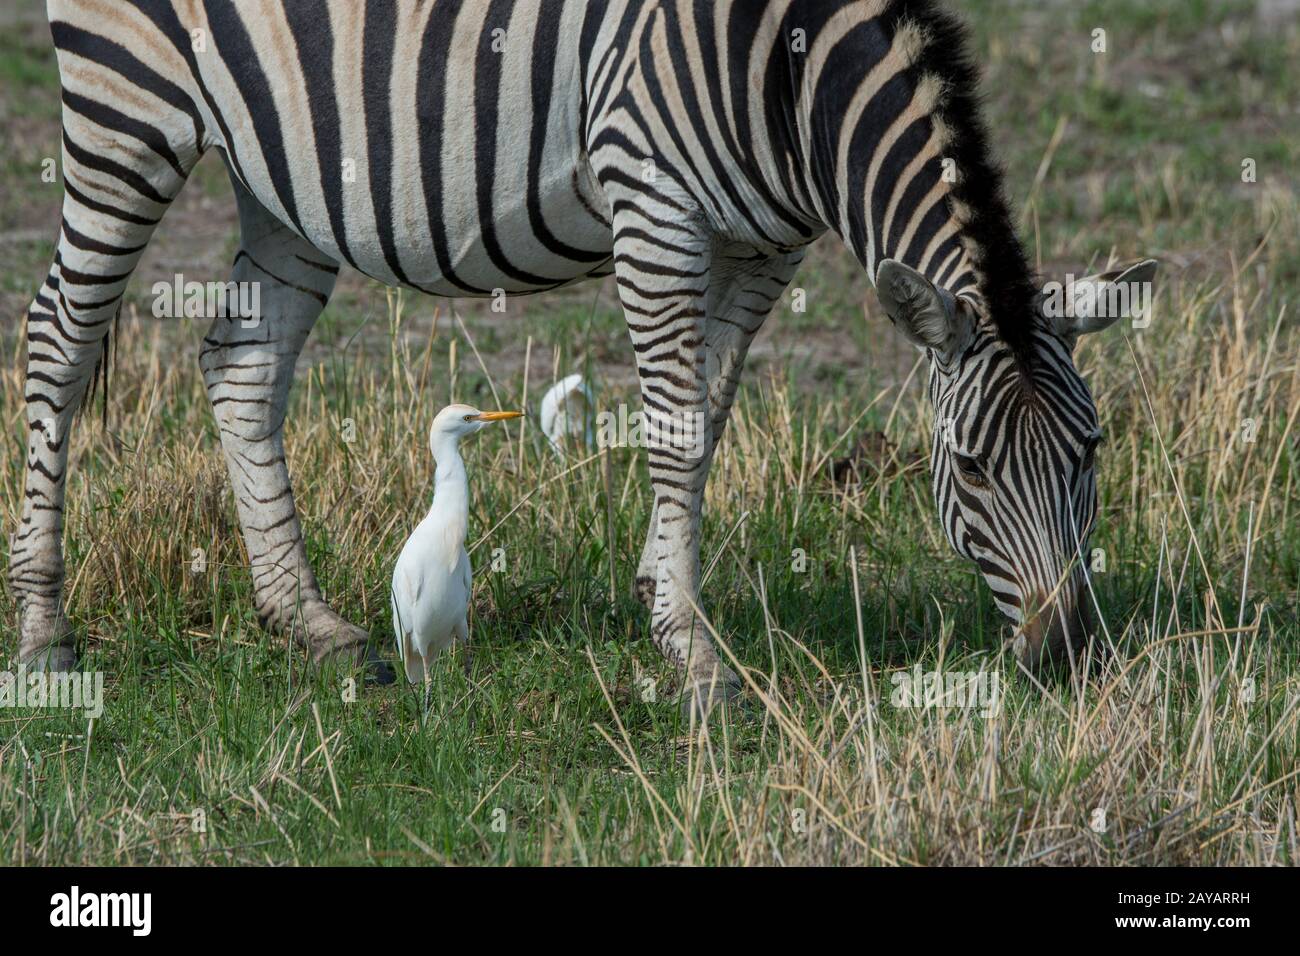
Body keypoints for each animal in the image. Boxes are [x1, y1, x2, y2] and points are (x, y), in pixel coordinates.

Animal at [12, 1, 1159, 717]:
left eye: (1094, 450)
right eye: (967, 467)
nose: (1067, 653)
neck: (786, 81)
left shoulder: (766, 245)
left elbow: (708, 411)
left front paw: (661, 592)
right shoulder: (654, 208)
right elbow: (676, 423)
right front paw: (693, 654)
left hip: (280, 164)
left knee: (243, 364)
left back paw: (310, 621)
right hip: (128, 107)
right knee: (57, 340)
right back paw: (42, 626)